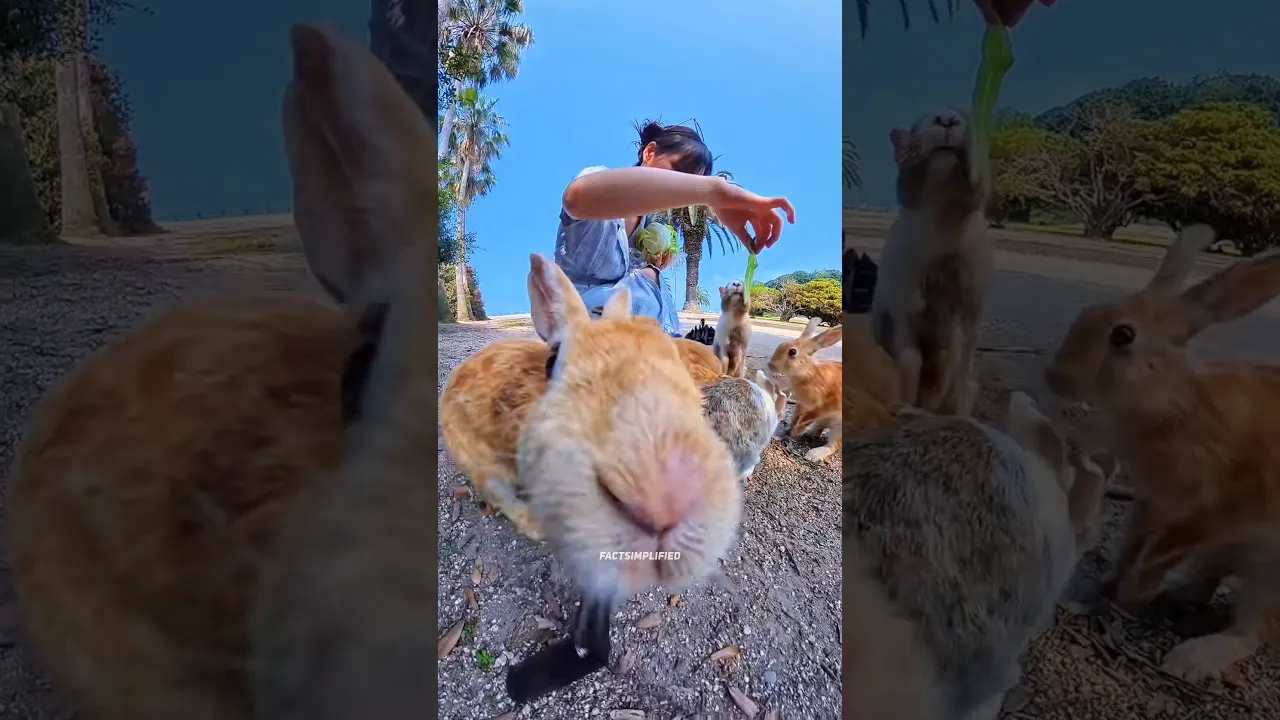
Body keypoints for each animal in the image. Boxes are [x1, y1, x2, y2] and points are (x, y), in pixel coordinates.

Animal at [767, 318, 843, 462]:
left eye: (792, 352)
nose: (770, 365)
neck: (808, 375)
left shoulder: (820, 407)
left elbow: (804, 420)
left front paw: (795, 434)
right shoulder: (801, 404)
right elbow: (795, 418)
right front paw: (788, 430)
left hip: (839, 428)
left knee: (833, 445)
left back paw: (813, 454)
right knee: (819, 429)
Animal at [871, 107, 993, 418]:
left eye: (963, 115)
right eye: (925, 118)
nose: (947, 119)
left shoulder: (973, 297)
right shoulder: (904, 297)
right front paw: (905, 146)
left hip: (944, 354)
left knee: (941, 375)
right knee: (910, 362)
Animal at [1044, 222, 1280, 683]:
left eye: (1123, 335)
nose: (1054, 376)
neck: (1173, 406)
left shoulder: (1205, 510)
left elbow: (1155, 555)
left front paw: (1128, 599)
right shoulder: (1151, 503)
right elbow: (1132, 545)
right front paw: (1111, 583)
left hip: (1270, 572)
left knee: (1252, 630)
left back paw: (1188, 659)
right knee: (1206, 582)